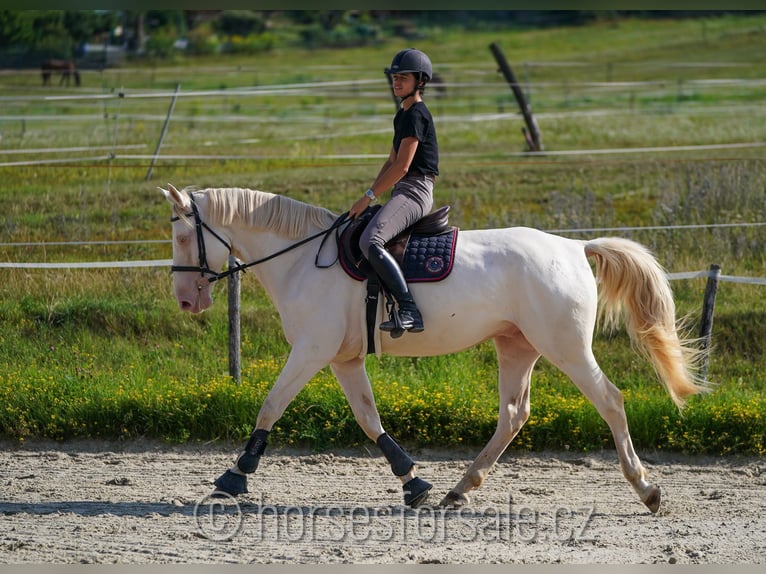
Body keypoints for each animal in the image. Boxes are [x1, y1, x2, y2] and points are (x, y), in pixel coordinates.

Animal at [162, 183, 708, 512]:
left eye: (184, 236)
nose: (186, 300)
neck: (302, 259)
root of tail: (575, 247)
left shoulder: (312, 351)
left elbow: (271, 405)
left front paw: (235, 475)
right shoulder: (343, 359)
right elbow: (369, 420)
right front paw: (413, 482)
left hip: (566, 347)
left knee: (610, 400)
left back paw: (647, 489)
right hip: (517, 346)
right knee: (514, 414)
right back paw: (457, 490)